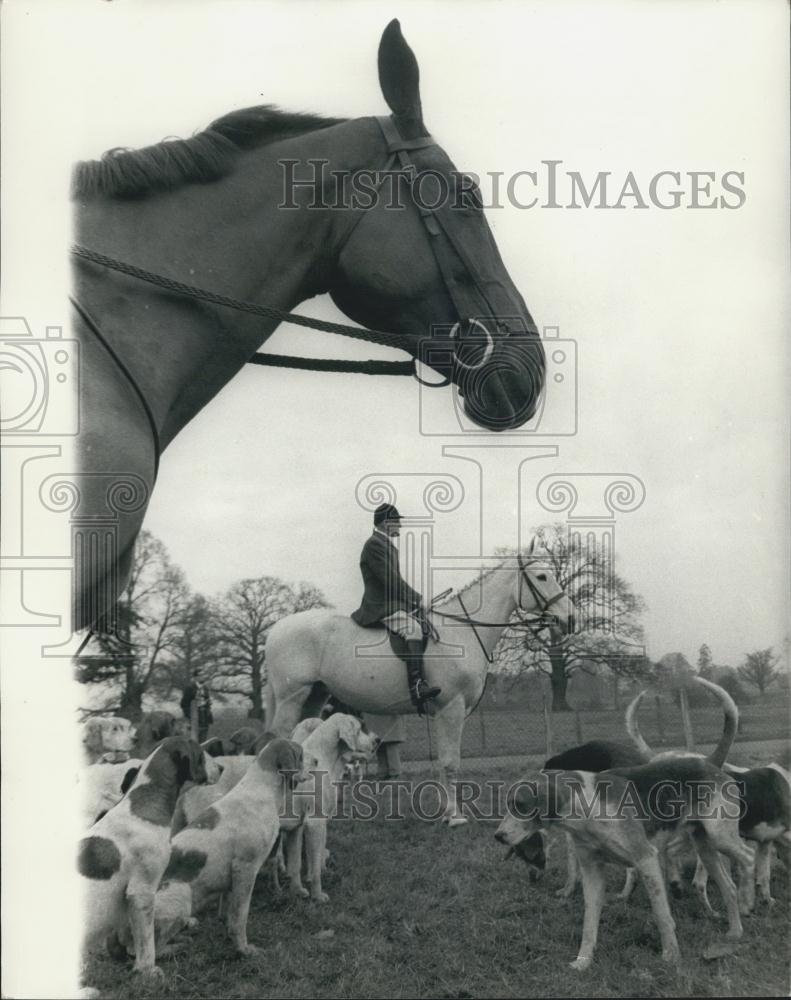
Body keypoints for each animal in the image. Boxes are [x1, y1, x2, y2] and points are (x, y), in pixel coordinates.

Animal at [266, 552, 576, 824]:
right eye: (542, 576)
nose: (571, 619)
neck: (462, 631)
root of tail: (276, 628)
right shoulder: (452, 707)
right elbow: (450, 761)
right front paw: (455, 816)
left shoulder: (446, 712)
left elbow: (442, 760)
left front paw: (445, 810)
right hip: (291, 698)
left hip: (315, 695)